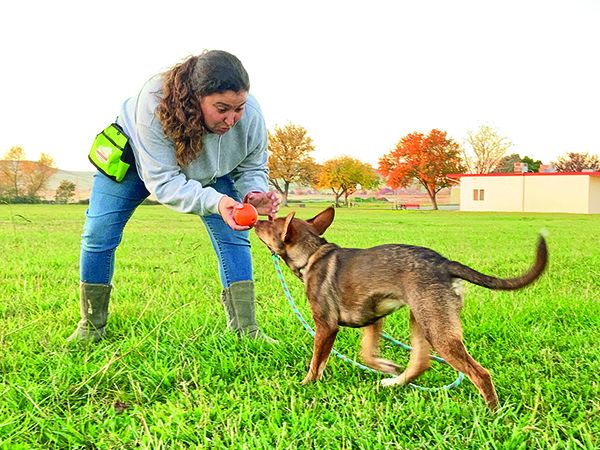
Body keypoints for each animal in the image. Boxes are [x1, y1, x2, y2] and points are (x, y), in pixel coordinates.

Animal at [254, 207, 548, 412]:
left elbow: (317, 361)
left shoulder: (326, 325)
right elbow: (367, 353)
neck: (312, 254)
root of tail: (445, 264)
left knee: (479, 373)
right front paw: (386, 366)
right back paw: (394, 383)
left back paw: (492, 413)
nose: (255, 220)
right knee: (420, 362)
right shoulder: (373, 317)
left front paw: (307, 384)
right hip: (421, 318)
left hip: (436, 329)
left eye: (270, 223)